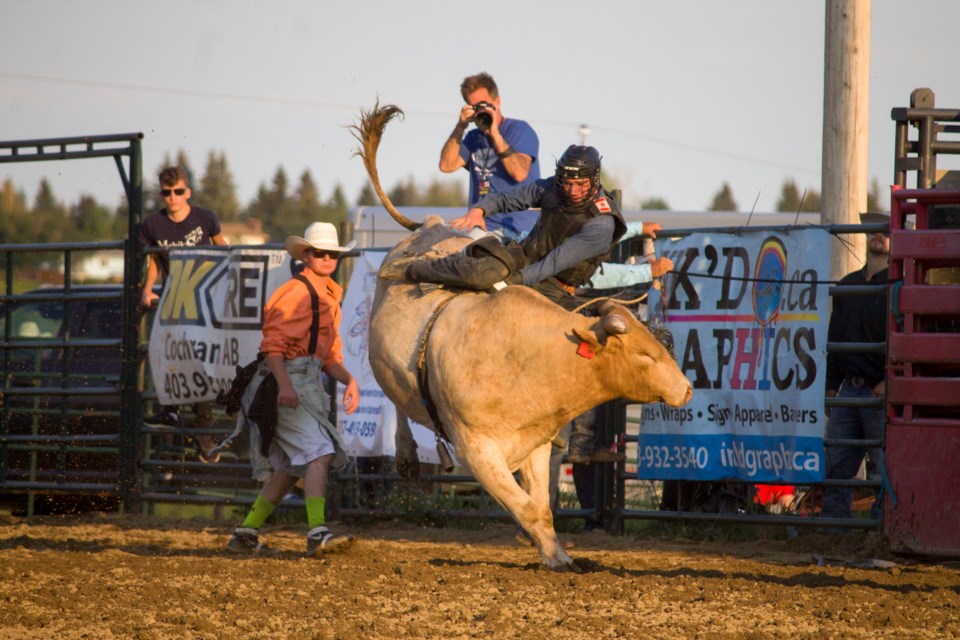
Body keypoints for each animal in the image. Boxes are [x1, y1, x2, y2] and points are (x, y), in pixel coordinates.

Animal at [352, 105, 688, 568]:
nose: (686, 389)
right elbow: (524, 507)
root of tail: (432, 224)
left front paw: (558, 555)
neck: (528, 358)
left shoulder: (535, 443)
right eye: (646, 356)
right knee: (397, 398)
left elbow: (541, 508)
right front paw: (554, 554)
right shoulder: (478, 451)